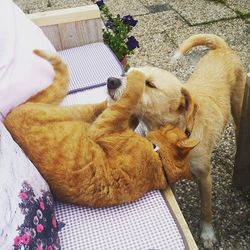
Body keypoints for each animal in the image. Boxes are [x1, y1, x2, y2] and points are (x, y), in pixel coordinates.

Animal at [3, 50, 197, 207]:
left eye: (150, 85)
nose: (112, 80)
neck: (158, 160)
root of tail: (9, 118)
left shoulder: (104, 127)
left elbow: (129, 97)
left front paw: (136, 77)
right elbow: (128, 107)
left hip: (76, 112)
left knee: (104, 106)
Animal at [106, 34, 246, 248]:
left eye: (150, 84)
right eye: (127, 74)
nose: (110, 81)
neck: (177, 134)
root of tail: (222, 48)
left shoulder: (205, 177)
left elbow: (206, 209)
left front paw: (207, 233)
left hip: (238, 105)